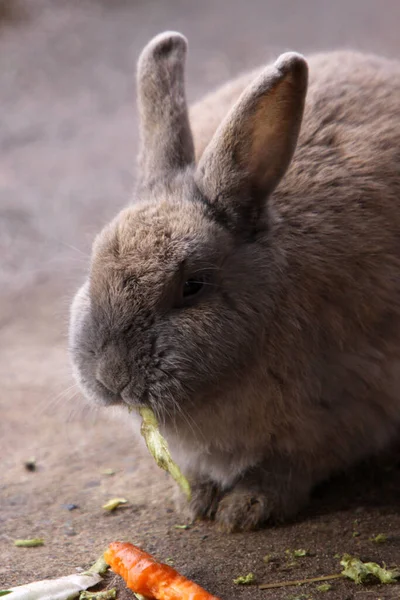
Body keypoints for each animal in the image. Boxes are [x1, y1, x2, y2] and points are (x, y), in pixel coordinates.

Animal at [70, 30, 400, 532]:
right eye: (93, 265)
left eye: (193, 286)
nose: (112, 376)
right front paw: (193, 501)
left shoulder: (337, 417)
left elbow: (286, 470)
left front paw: (244, 510)